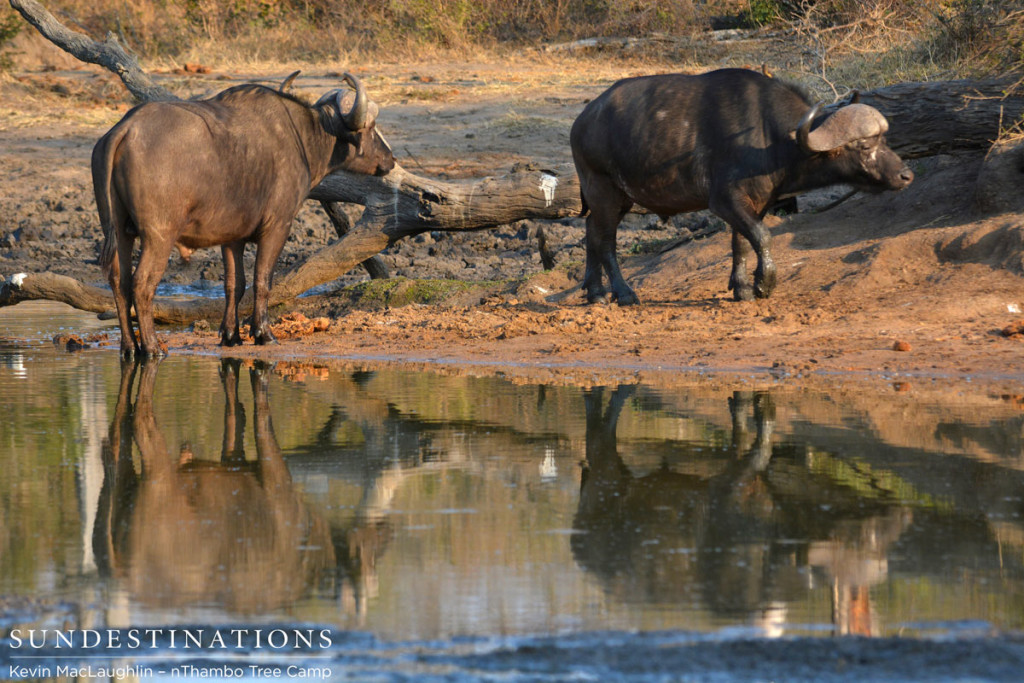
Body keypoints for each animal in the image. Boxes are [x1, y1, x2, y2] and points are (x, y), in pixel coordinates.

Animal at [573, 68, 917, 305]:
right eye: (864, 146)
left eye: (884, 139)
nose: (905, 176)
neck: (770, 137)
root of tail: (583, 119)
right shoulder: (724, 200)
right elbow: (762, 237)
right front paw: (764, 283)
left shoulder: (756, 203)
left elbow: (741, 242)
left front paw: (741, 288)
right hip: (603, 191)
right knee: (606, 241)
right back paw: (623, 293)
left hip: (620, 199)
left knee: (591, 231)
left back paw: (595, 292)